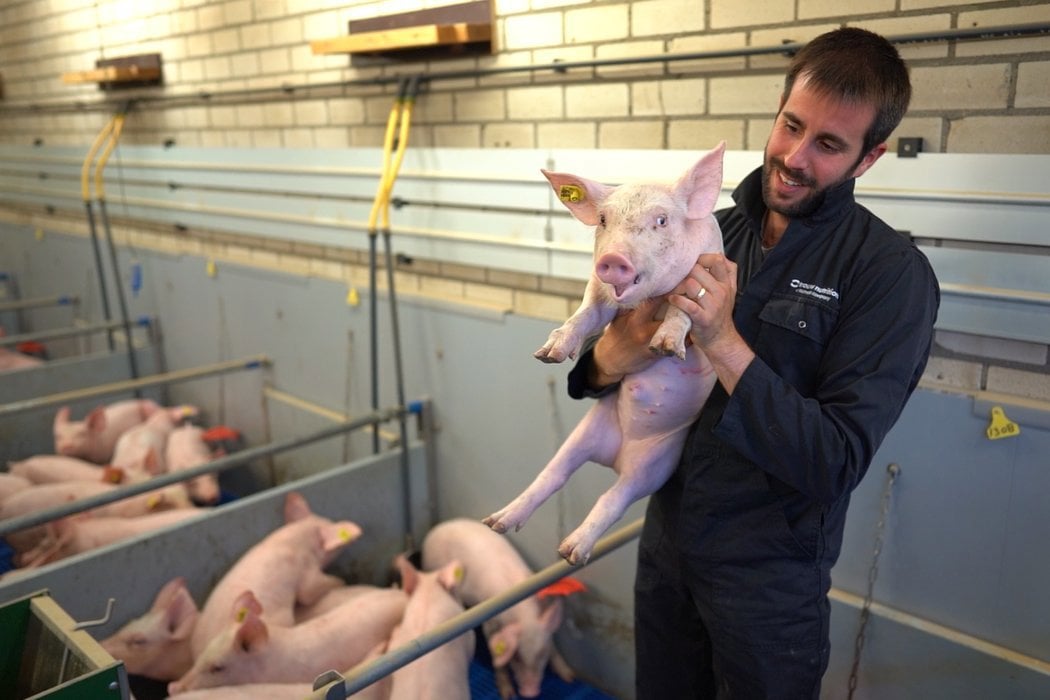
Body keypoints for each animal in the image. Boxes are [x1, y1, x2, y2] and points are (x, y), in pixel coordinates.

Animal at [422, 518, 579, 696]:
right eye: (516, 656)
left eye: (541, 653)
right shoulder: (490, 623)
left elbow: (553, 645)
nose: (530, 692)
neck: (523, 614)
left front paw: (570, 678)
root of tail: (437, 528)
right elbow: (496, 654)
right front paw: (507, 694)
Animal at [485, 142, 726, 562]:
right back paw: (498, 523)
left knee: (614, 499)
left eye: (662, 220)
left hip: (655, 466)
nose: (612, 260)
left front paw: (665, 347)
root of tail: (616, 455)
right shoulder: (598, 292)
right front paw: (547, 353)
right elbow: (584, 315)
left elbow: (684, 309)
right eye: (602, 219)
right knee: (553, 474)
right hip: (587, 433)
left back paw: (571, 551)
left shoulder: (706, 275)